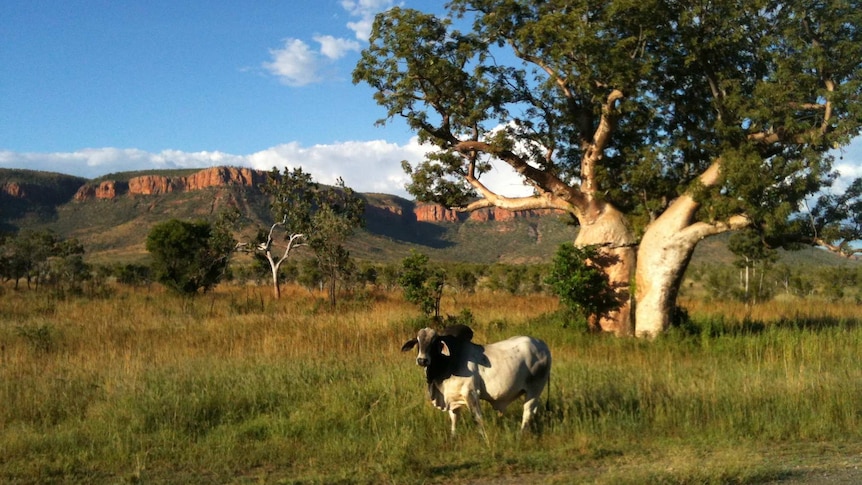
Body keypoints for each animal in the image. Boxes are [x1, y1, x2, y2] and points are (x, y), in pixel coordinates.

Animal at [400, 326, 552, 434]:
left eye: (434, 342)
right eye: (418, 342)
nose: (422, 360)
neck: (449, 362)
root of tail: (543, 346)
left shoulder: (471, 393)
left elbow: (477, 418)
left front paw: (484, 438)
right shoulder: (452, 397)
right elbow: (454, 419)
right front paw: (453, 437)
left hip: (534, 389)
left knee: (528, 411)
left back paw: (521, 434)